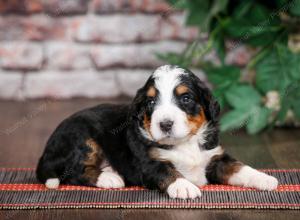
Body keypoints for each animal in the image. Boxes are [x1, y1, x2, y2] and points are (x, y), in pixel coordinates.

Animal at [36, 64, 278, 199]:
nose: (165, 124)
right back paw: (109, 178)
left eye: (186, 98)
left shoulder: (214, 157)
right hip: (83, 138)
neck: (185, 143)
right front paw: (184, 186)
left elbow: (240, 168)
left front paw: (265, 179)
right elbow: (167, 172)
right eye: (151, 102)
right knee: (72, 171)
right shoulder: (149, 163)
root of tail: (45, 153)